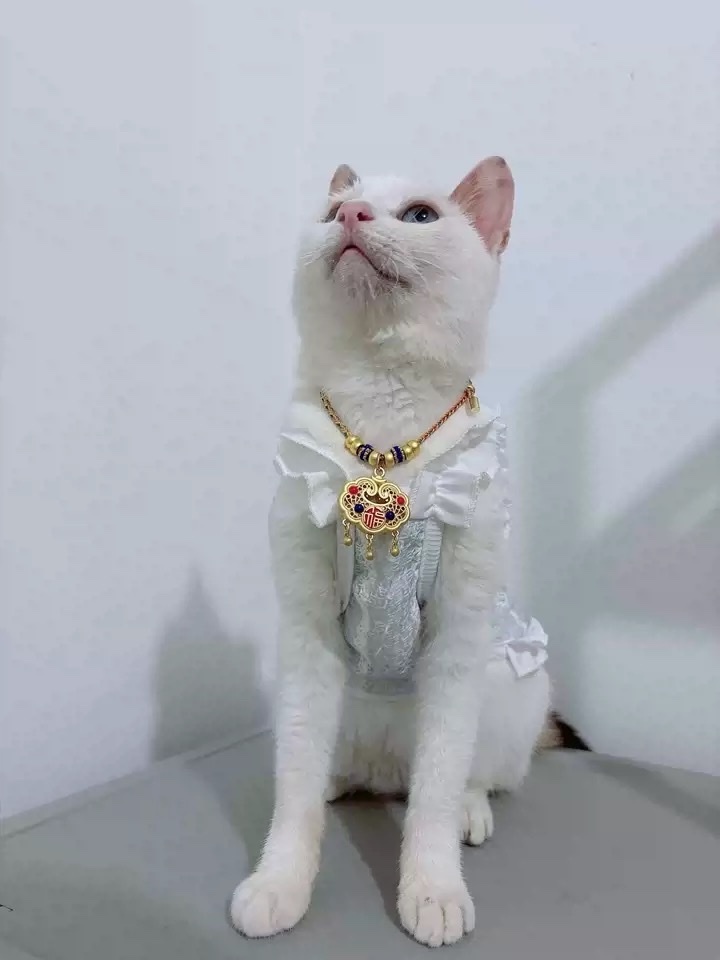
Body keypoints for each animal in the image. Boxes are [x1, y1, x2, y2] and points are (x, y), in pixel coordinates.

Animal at [231, 157, 554, 947]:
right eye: (332, 210)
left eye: (419, 216)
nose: (351, 219)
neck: (382, 437)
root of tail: (382, 768)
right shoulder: (307, 635)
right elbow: (293, 793)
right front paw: (280, 882)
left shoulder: (458, 639)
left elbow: (433, 798)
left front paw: (431, 890)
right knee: (317, 767)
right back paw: (338, 782)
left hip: (510, 685)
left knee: (458, 774)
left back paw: (470, 808)